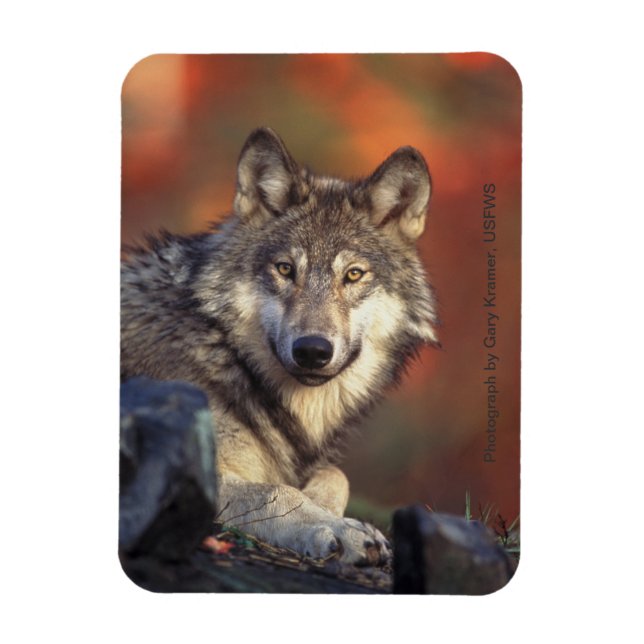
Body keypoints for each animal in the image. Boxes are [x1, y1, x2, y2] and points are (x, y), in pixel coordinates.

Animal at [121, 127, 438, 565]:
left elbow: (335, 475)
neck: (226, 353)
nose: (312, 350)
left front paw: (329, 511)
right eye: (286, 269)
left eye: (353, 275)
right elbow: (276, 491)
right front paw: (340, 529)